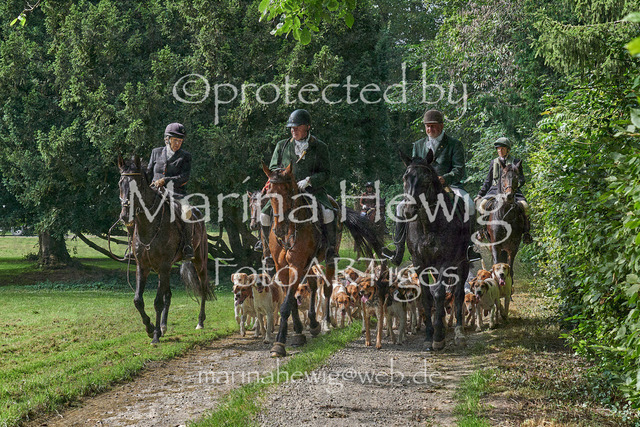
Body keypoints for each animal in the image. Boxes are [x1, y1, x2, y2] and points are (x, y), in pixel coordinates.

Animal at [117, 155, 213, 344]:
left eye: (137, 184)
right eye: (120, 183)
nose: (125, 215)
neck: (149, 226)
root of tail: (198, 214)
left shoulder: (162, 266)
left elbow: (157, 302)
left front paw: (154, 335)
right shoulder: (143, 267)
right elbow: (138, 300)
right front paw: (150, 328)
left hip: (199, 262)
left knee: (203, 287)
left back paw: (200, 322)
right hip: (167, 270)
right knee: (168, 295)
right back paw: (163, 326)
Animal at [262, 163, 384, 357]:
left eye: (288, 192)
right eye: (270, 193)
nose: (279, 230)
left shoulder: (297, 265)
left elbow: (287, 303)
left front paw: (279, 343)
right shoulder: (282, 267)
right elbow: (292, 301)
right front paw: (298, 333)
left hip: (327, 259)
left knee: (326, 289)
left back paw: (326, 323)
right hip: (310, 263)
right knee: (313, 286)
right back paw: (313, 323)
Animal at [399, 149, 470, 351]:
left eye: (426, 179)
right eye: (405, 177)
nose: (409, 211)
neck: (428, 225)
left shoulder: (445, 261)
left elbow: (439, 293)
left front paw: (438, 337)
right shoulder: (419, 263)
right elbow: (426, 296)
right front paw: (429, 336)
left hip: (463, 263)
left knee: (458, 294)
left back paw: (459, 333)